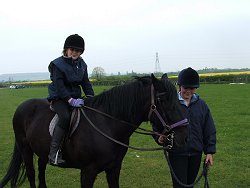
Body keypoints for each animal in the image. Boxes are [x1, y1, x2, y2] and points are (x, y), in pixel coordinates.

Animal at [0, 75, 187, 188]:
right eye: (163, 99)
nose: (184, 136)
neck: (107, 125)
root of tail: (22, 106)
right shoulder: (87, 172)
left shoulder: (114, 169)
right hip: (25, 148)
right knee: (31, 173)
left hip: (42, 150)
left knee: (41, 169)